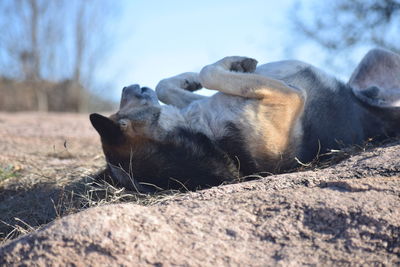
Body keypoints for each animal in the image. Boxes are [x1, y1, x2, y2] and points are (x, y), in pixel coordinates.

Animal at [90, 48, 400, 193]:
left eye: (124, 103)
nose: (126, 87)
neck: (209, 137)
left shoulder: (197, 104)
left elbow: (171, 83)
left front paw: (189, 79)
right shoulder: (289, 96)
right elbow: (208, 72)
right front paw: (236, 63)